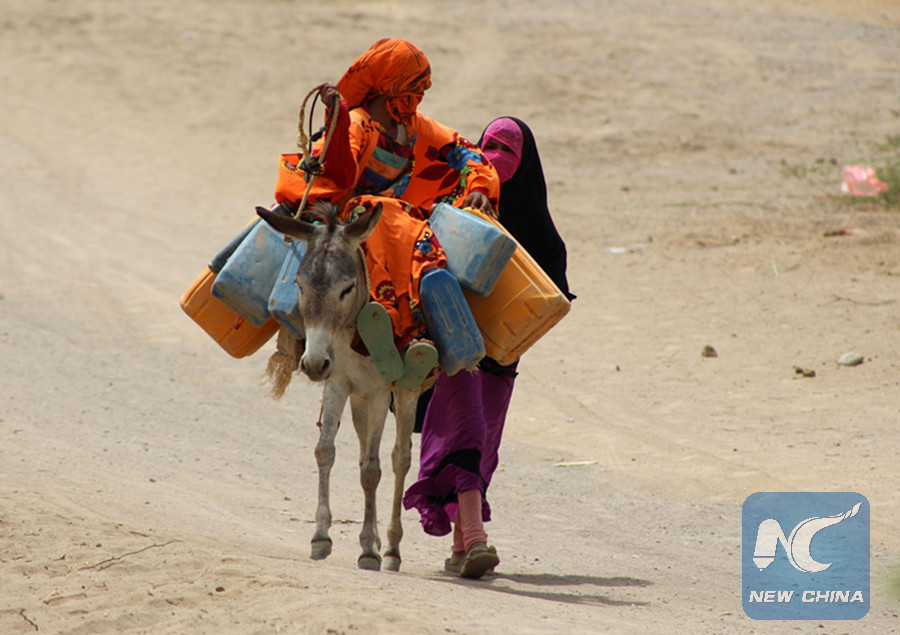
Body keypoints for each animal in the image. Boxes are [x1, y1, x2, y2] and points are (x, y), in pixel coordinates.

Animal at [257, 201, 422, 572]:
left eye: (346, 289)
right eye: (300, 286)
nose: (313, 363)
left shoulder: (379, 393)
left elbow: (373, 470)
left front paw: (369, 551)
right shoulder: (338, 383)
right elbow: (325, 451)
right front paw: (321, 537)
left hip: (405, 392)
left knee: (399, 458)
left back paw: (391, 548)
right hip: (359, 399)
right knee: (365, 450)